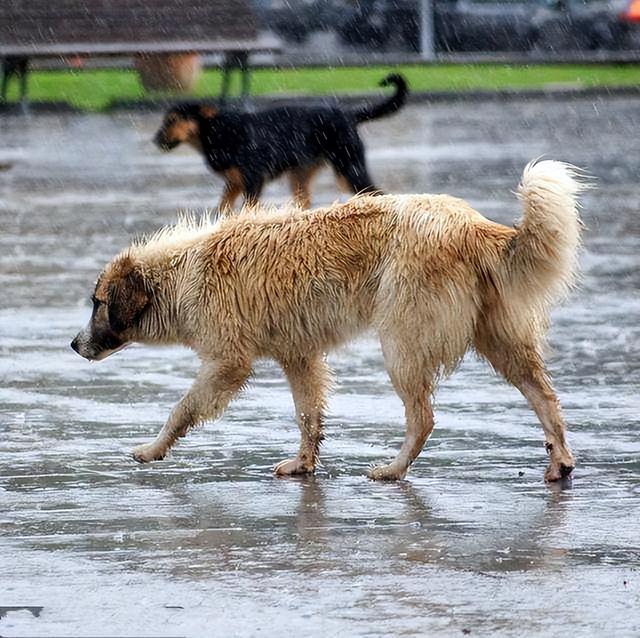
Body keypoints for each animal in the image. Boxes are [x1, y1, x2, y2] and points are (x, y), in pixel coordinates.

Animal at [72, 162, 588, 482]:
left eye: (97, 303)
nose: (74, 345)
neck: (180, 276)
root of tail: (473, 225)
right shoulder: (299, 357)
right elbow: (308, 415)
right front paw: (304, 464)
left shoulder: (227, 362)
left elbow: (182, 409)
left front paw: (152, 449)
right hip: (498, 337)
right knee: (544, 395)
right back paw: (560, 462)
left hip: (402, 342)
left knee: (423, 417)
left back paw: (393, 469)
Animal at [152, 74, 408, 210]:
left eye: (173, 119)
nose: (155, 141)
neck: (216, 131)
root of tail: (347, 115)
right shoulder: (234, 182)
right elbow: (223, 208)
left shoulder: (253, 181)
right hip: (300, 179)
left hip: (349, 171)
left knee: (378, 194)